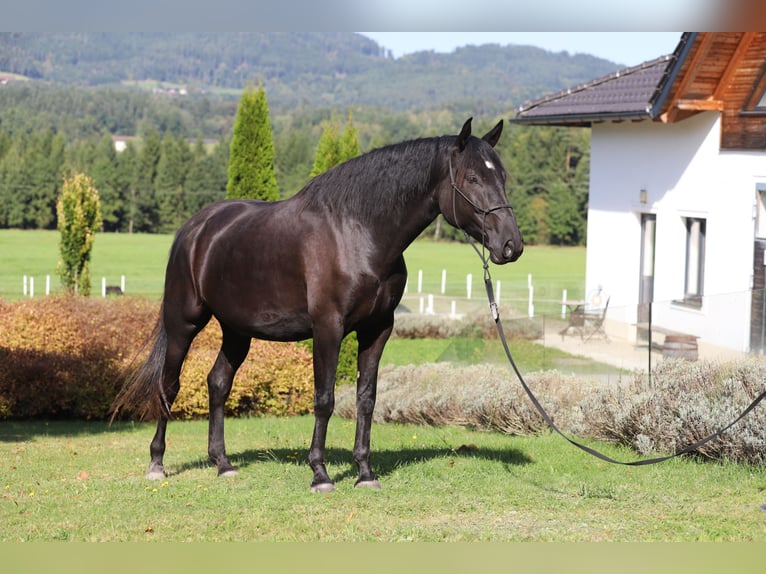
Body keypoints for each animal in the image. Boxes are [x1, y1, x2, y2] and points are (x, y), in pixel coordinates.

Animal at [112, 117, 524, 492]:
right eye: (472, 179)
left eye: (503, 176)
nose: (511, 245)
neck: (358, 234)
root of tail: (196, 228)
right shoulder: (328, 327)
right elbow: (324, 398)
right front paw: (321, 475)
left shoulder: (378, 329)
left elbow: (366, 399)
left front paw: (365, 473)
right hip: (184, 323)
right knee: (169, 385)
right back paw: (157, 464)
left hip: (237, 331)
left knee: (218, 383)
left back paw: (223, 464)